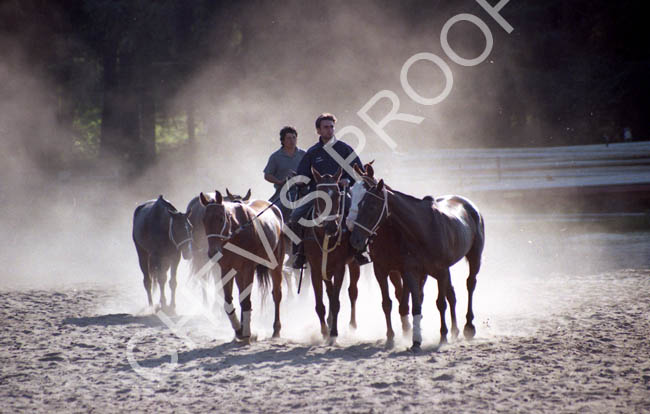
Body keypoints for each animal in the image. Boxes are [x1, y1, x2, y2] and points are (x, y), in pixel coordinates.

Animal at [197, 191, 284, 340]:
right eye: (204, 220)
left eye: (221, 219)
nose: (213, 252)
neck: (237, 232)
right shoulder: (227, 269)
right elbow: (229, 301)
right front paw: (239, 330)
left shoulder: (248, 268)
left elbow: (246, 300)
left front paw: (247, 332)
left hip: (276, 263)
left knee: (277, 294)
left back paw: (276, 330)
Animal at [302, 167, 362, 342]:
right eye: (319, 196)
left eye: (337, 194)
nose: (332, 227)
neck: (325, 236)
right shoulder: (315, 270)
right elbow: (320, 304)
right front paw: (324, 331)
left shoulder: (339, 268)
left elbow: (336, 302)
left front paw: (334, 333)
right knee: (329, 293)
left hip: (353, 264)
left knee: (352, 291)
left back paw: (352, 324)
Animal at [346, 178, 484, 350]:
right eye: (359, 204)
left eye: (371, 206)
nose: (355, 239)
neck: (423, 230)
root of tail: (470, 206)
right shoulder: (410, 271)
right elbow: (413, 304)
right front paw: (415, 340)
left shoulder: (440, 271)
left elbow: (440, 303)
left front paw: (442, 336)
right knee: (451, 294)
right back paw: (454, 331)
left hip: (474, 256)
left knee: (470, 284)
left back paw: (468, 327)